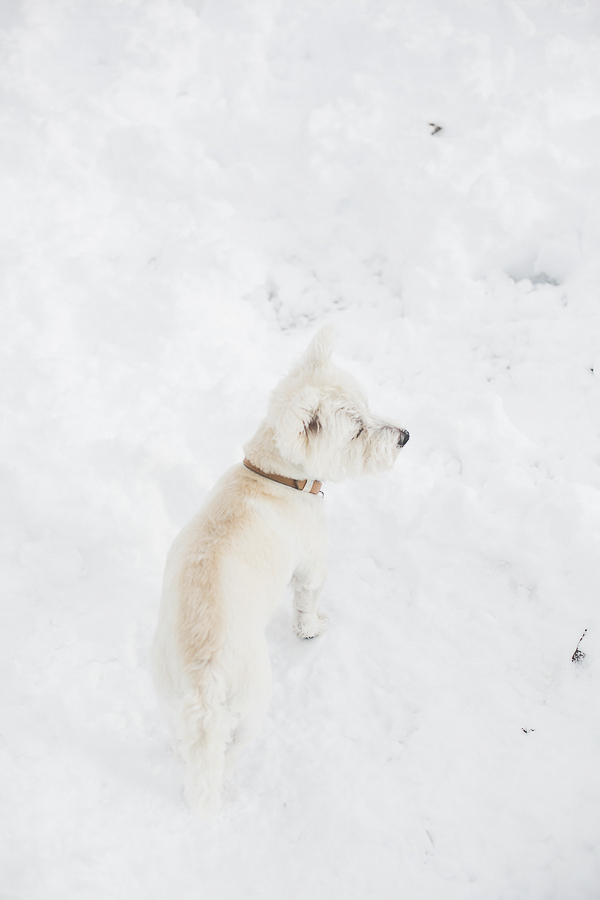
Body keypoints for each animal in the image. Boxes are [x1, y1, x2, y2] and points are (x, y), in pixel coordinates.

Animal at [152, 326, 410, 816]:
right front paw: (313, 629)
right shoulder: (312, 565)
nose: (406, 436)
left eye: (368, 407)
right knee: (229, 753)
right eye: (358, 429)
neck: (275, 476)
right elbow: (307, 605)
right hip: (251, 702)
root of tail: (204, 683)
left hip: (168, 693)